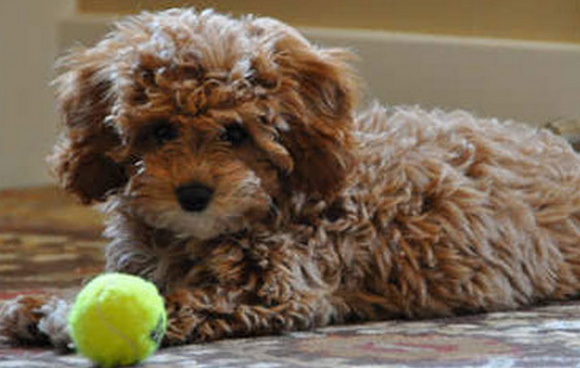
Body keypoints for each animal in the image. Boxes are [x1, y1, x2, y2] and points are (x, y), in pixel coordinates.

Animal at [1, 7, 580, 348]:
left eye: (235, 132)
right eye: (161, 130)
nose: (194, 194)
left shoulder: (281, 285)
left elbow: (185, 298)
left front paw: (62, 314)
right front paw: (38, 303)